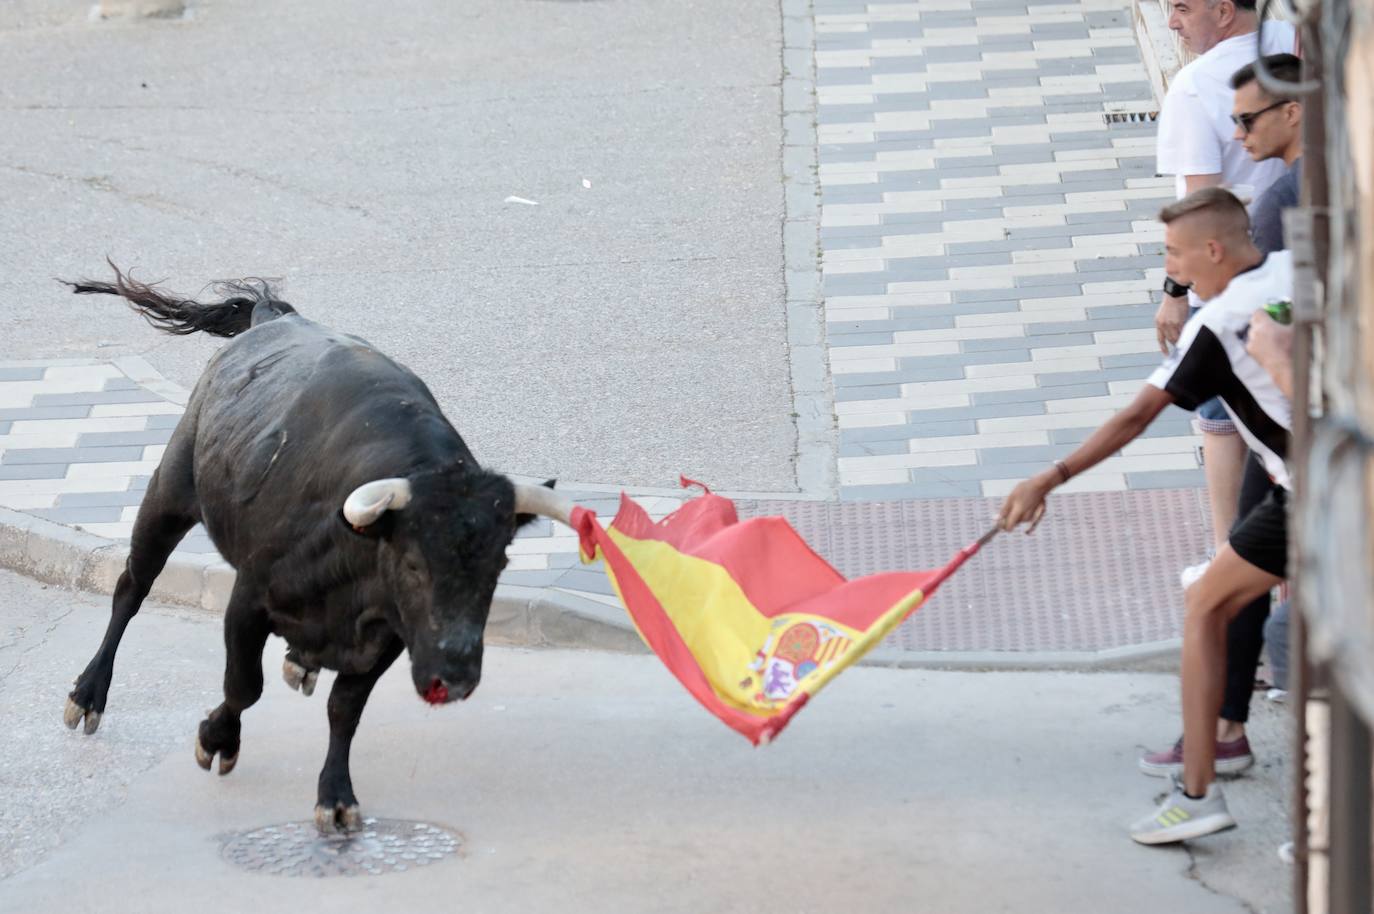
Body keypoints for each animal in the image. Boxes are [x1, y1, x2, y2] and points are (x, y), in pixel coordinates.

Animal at [57, 265, 574, 835]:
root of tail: (273, 317)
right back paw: (87, 695)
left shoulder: (390, 633)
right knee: (132, 587)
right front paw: (216, 740)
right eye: (414, 563)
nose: (455, 677)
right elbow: (244, 685)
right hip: (169, 493)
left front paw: (336, 795)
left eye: (498, 565)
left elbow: (344, 708)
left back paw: (299, 663)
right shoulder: (248, 600)